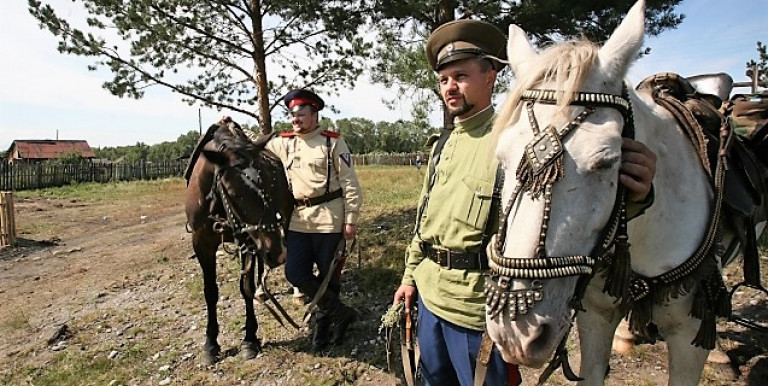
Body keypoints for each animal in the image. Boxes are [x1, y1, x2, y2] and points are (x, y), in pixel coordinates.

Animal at [184, 123, 292, 364]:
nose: (278, 254)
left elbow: (246, 288)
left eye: (269, 183)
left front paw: (250, 339)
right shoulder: (202, 245)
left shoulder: (248, 242)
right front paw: (211, 343)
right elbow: (210, 292)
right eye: (235, 192)